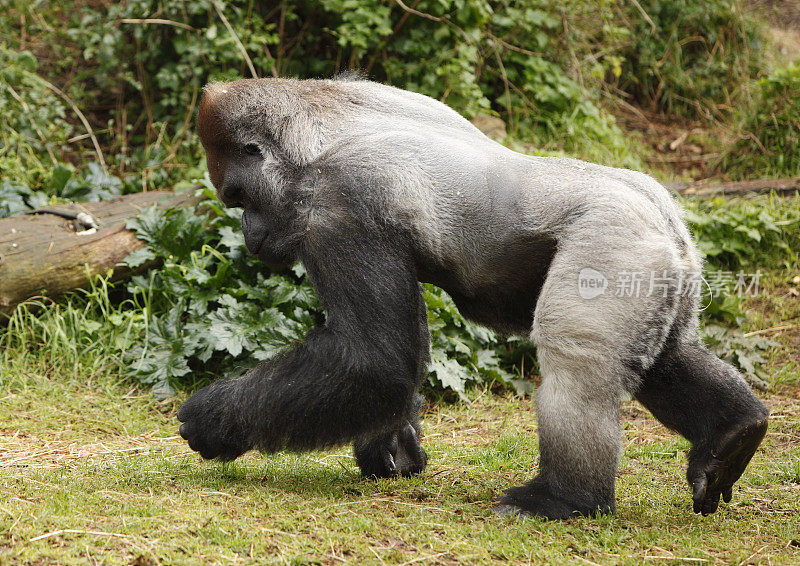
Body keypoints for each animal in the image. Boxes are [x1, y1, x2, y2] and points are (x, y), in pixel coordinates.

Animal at [181, 77, 768, 520]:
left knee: (575, 361)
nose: (249, 235)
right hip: (664, 267)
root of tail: (664, 214)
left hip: (617, 242)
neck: (311, 130)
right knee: (665, 358)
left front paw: (214, 418)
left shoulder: (338, 205)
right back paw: (733, 433)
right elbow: (382, 365)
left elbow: (374, 361)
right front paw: (390, 450)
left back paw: (566, 499)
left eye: (238, 196)